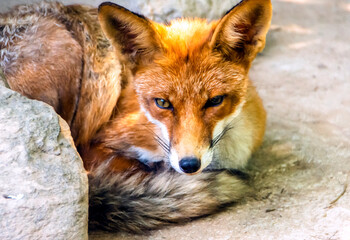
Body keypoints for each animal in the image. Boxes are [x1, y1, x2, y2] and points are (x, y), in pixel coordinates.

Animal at [0, 0, 272, 232]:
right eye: (162, 103)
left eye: (215, 101)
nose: (189, 165)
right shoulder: (102, 141)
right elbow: (111, 166)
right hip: (84, 63)